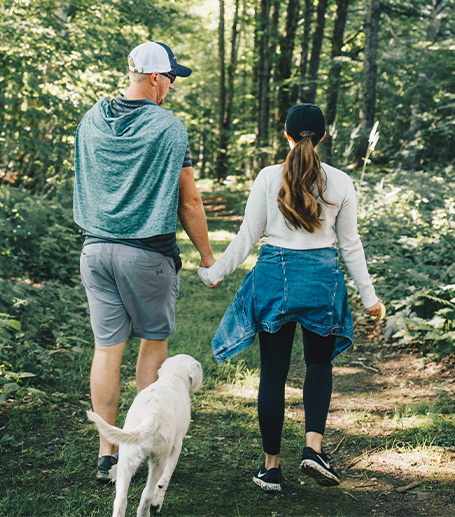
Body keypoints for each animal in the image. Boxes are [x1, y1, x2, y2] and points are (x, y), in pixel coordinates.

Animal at [87, 352, 203, 516]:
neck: (172, 378)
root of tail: (152, 414)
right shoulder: (176, 445)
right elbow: (164, 480)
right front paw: (157, 503)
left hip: (126, 460)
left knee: (120, 500)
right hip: (158, 460)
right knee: (147, 495)